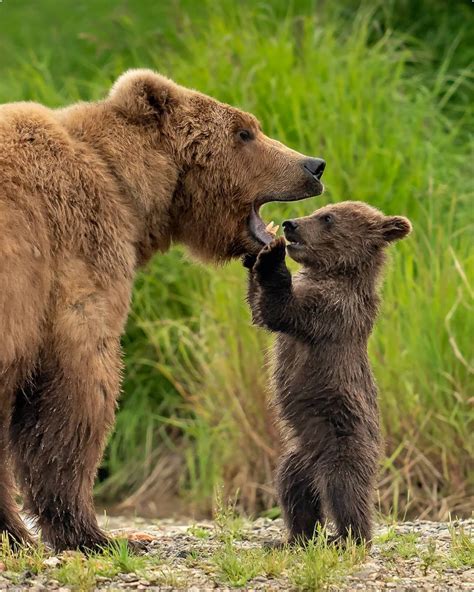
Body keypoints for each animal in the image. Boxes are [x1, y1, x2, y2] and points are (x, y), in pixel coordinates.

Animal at [0, 70, 326, 556]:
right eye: (244, 132)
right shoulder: (70, 259)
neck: (125, 186)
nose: (313, 166)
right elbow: (77, 387)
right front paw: (94, 534)